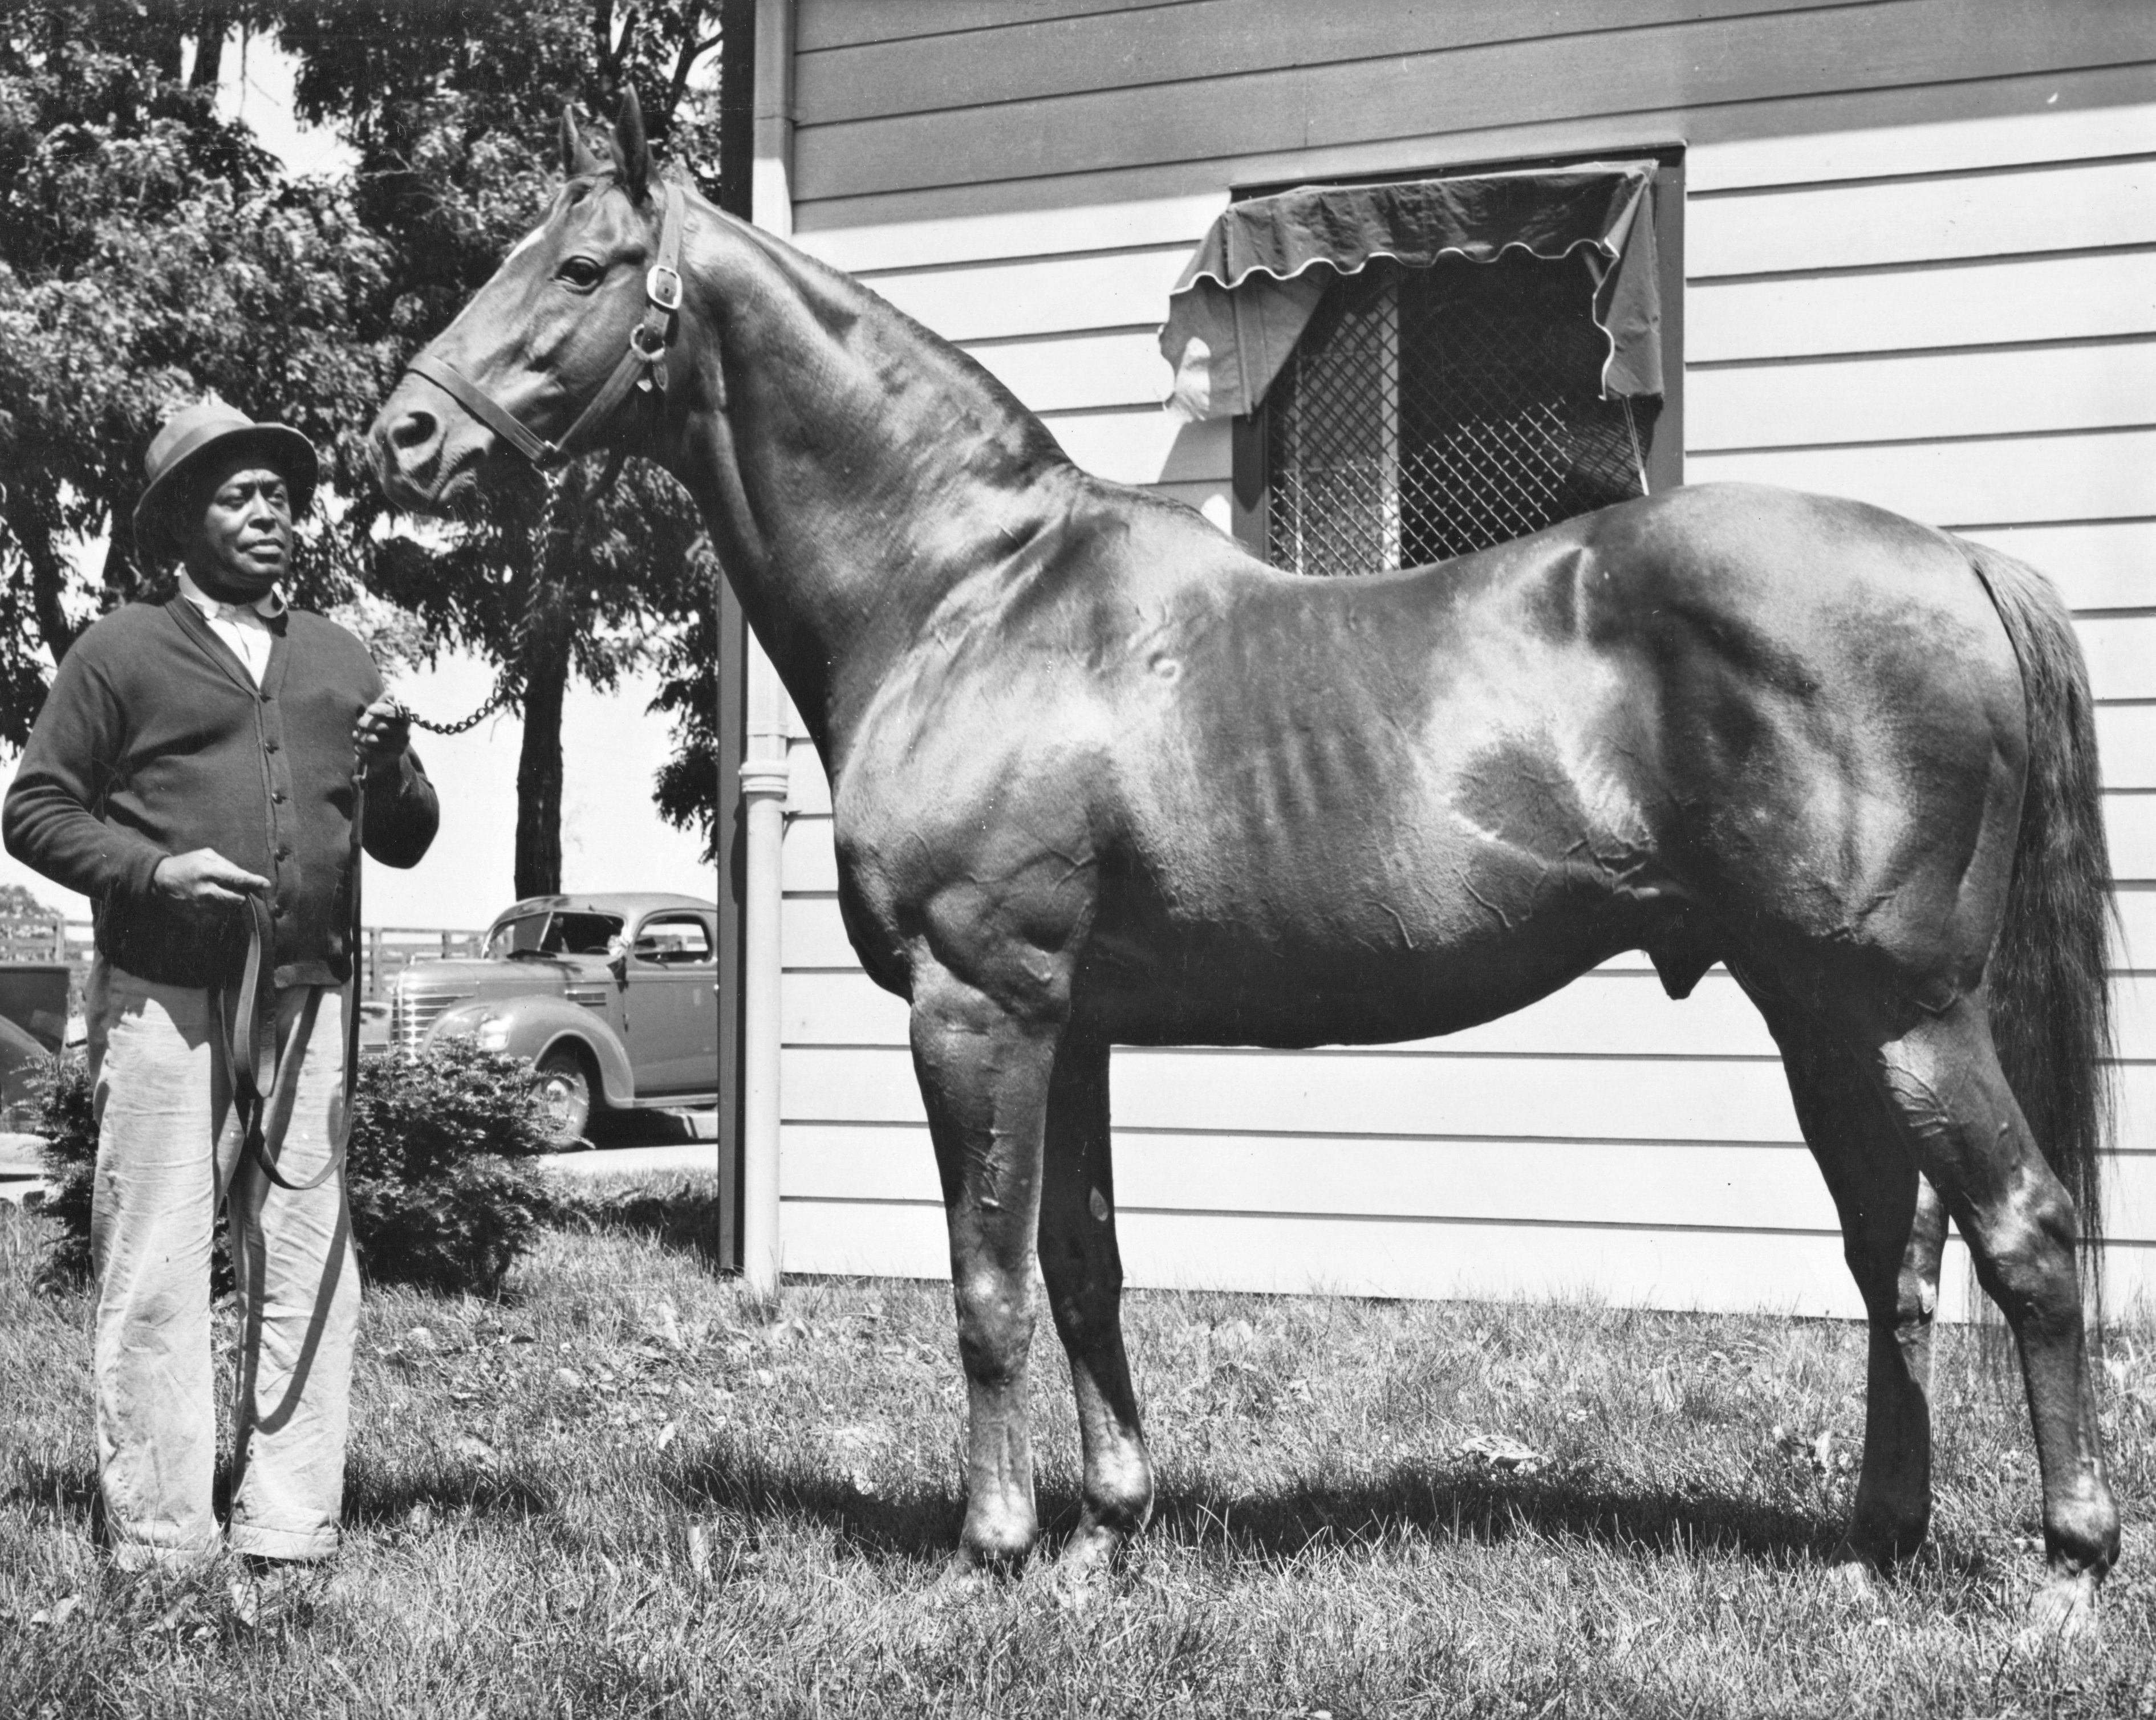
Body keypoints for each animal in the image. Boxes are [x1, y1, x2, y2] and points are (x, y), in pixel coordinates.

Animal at [371, 101, 2121, 1638]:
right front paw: (1103, 1536)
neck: (966, 597)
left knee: (2024, 1234)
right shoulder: (1065, 1022)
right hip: (1816, 1009)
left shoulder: (977, 1008)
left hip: (1900, 1007)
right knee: (1894, 1255)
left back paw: (2064, 1576)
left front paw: (993, 1554)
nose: (407, 433)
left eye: (583, 269)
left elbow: (985, 1283)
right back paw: (1875, 1550)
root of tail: (1959, 563)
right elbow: (1080, 1267)